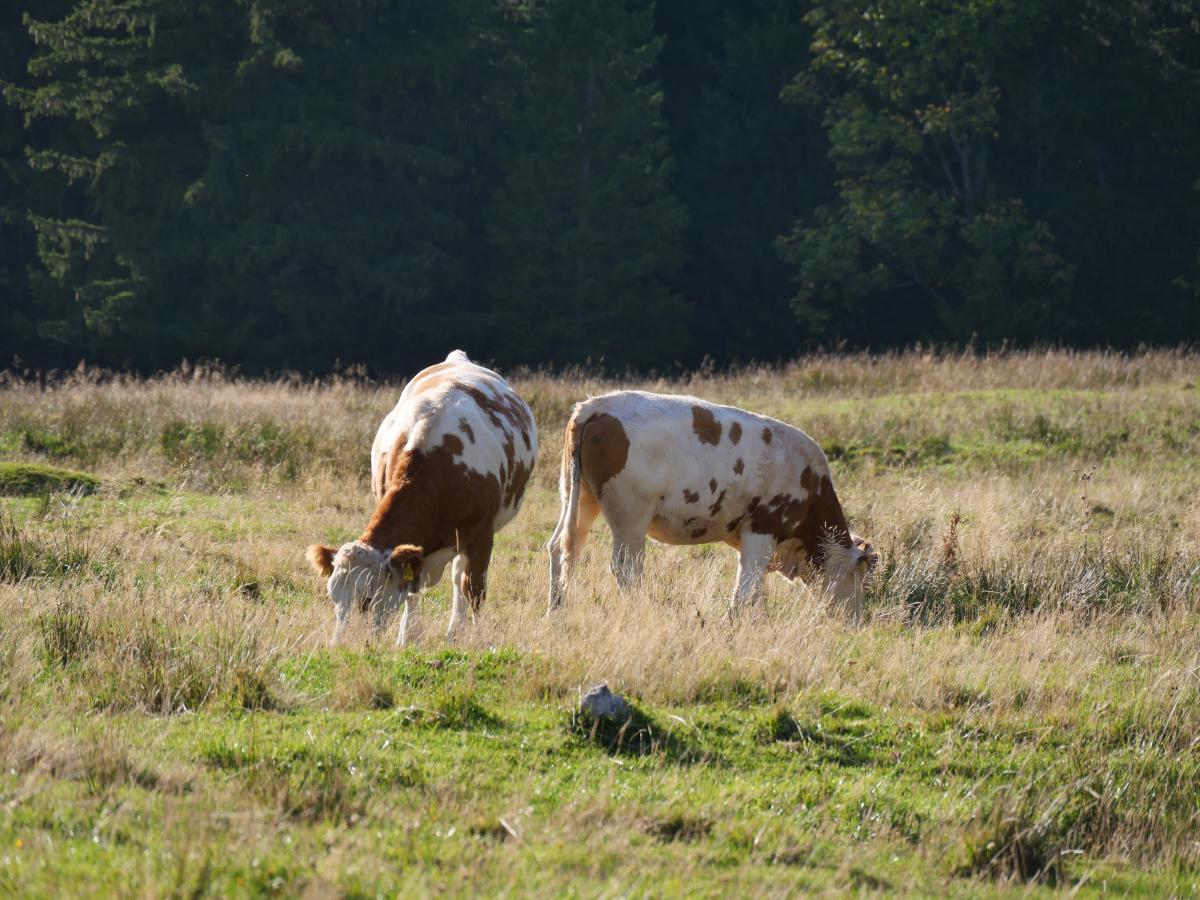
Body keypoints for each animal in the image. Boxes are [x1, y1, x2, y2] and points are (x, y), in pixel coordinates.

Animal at [307, 350, 537, 645]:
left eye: (366, 600)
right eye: (333, 597)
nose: (340, 646)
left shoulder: (482, 536)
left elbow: (474, 589)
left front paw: (479, 638)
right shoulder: (415, 552)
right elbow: (411, 590)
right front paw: (406, 638)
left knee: (459, 579)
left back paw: (455, 630)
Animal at [546, 391, 876, 618]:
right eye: (858, 577)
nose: (856, 619)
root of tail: (594, 407)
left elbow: (756, 591)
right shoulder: (762, 531)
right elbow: (746, 588)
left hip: (579, 496)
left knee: (563, 547)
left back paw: (557, 610)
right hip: (630, 517)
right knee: (626, 568)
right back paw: (639, 608)